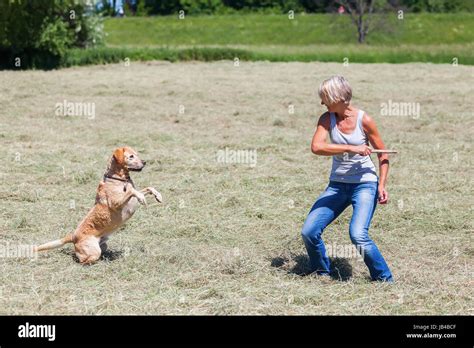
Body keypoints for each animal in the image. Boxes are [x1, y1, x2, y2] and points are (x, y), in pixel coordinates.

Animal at [34, 146, 162, 264]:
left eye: (137, 154)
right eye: (131, 156)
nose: (145, 162)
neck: (119, 179)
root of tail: (73, 236)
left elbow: (148, 188)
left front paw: (158, 195)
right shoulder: (116, 203)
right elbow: (132, 191)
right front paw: (141, 197)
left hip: (103, 245)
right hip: (94, 251)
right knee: (82, 260)